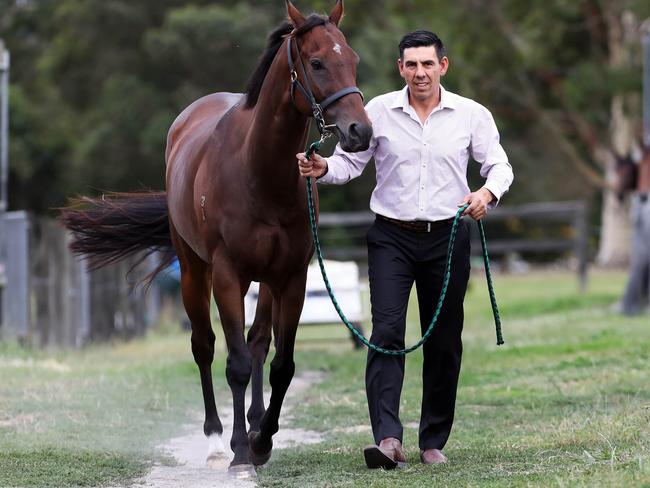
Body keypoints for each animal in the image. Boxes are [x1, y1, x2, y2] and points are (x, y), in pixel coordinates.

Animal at [64, 0, 374, 472]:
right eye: (318, 62)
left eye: (353, 59)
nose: (361, 132)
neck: (259, 171)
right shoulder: (228, 276)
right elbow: (236, 364)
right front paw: (241, 451)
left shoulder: (291, 278)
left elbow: (280, 364)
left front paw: (262, 439)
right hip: (197, 273)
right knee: (206, 346)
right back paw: (215, 438)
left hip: (263, 284)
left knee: (258, 343)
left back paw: (253, 423)